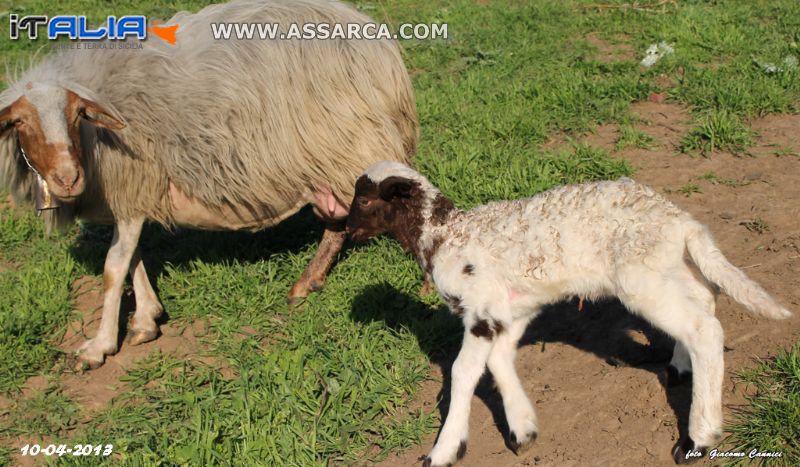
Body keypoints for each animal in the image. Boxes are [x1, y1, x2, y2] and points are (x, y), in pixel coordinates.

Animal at [1, 0, 418, 372]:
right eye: (19, 123)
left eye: (77, 114)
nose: (68, 178)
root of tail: (380, 44)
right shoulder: (134, 194)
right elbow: (132, 257)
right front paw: (146, 319)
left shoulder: (133, 184)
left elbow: (113, 267)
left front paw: (100, 346)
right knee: (336, 221)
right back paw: (308, 281)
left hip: (347, 148)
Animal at [346, 162, 792, 467]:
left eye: (364, 201)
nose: (346, 230)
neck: (442, 238)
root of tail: (680, 221)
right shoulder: (512, 309)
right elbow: (499, 360)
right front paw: (523, 429)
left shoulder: (481, 310)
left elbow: (463, 372)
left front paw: (443, 450)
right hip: (664, 265)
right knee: (706, 295)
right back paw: (680, 367)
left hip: (639, 276)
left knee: (704, 328)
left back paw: (699, 438)